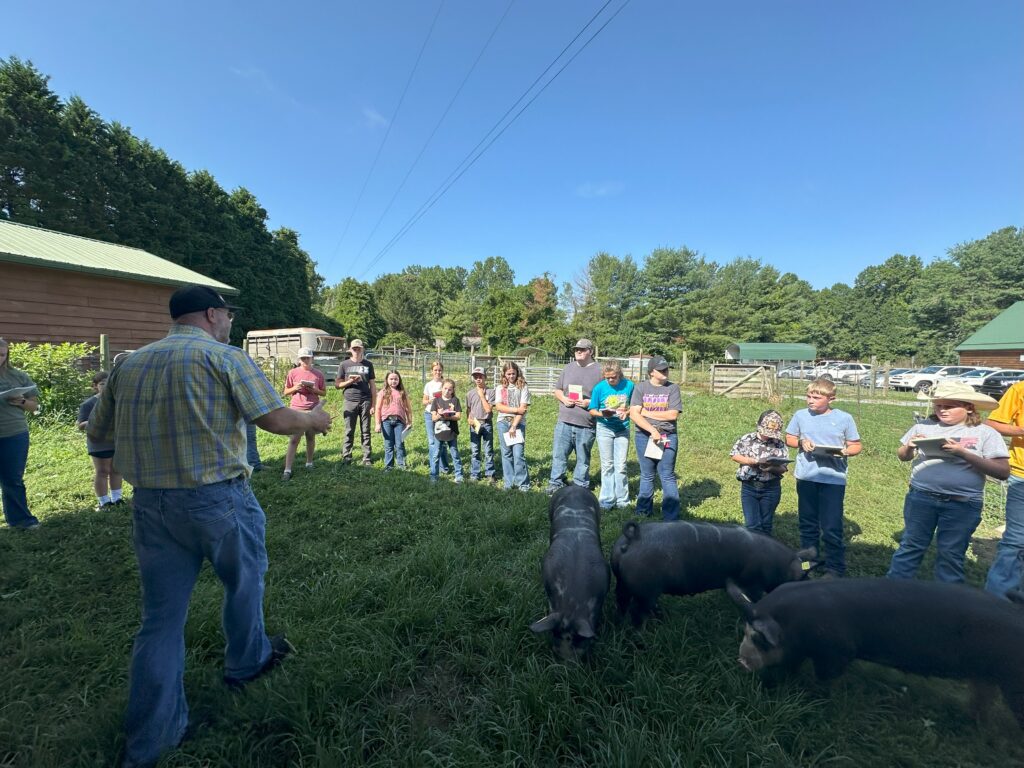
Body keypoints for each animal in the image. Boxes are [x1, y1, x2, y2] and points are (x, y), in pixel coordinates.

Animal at [606, 518, 806, 626]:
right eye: (803, 576)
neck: (779, 563)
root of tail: (634, 536)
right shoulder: (752, 583)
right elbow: (755, 598)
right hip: (645, 589)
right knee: (638, 612)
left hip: (623, 583)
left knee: (622, 602)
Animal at [724, 581, 1024, 729]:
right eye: (745, 631)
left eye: (758, 638)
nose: (741, 660)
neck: (792, 626)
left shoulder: (838, 652)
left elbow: (826, 678)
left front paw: (816, 698)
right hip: (986, 674)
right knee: (982, 696)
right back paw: (973, 724)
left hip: (1013, 681)